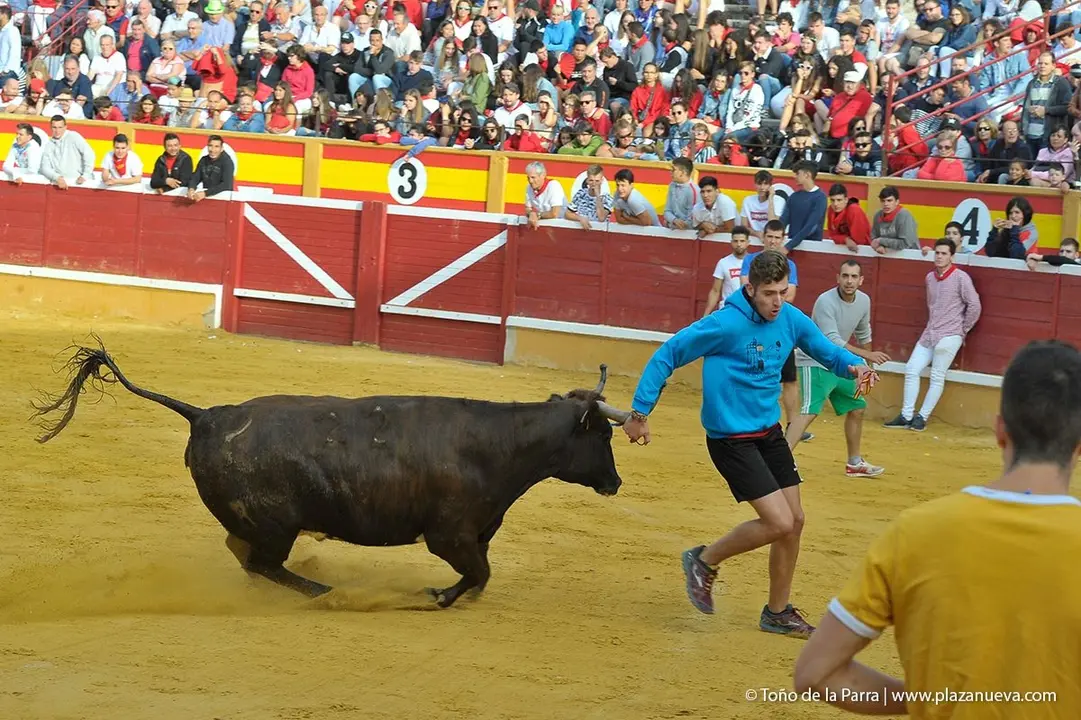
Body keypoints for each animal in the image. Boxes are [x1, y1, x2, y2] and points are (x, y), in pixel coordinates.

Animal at [32, 342, 632, 608]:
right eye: (603, 437)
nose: (616, 483)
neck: (498, 445)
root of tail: (205, 416)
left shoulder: (476, 533)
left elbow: (480, 574)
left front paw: (447, 595)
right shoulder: (450, 535)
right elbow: (478, 572)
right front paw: (439, 596)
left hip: (260, 525)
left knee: (245, 557)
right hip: (277, 526)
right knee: (262, 563)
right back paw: (324, 591)